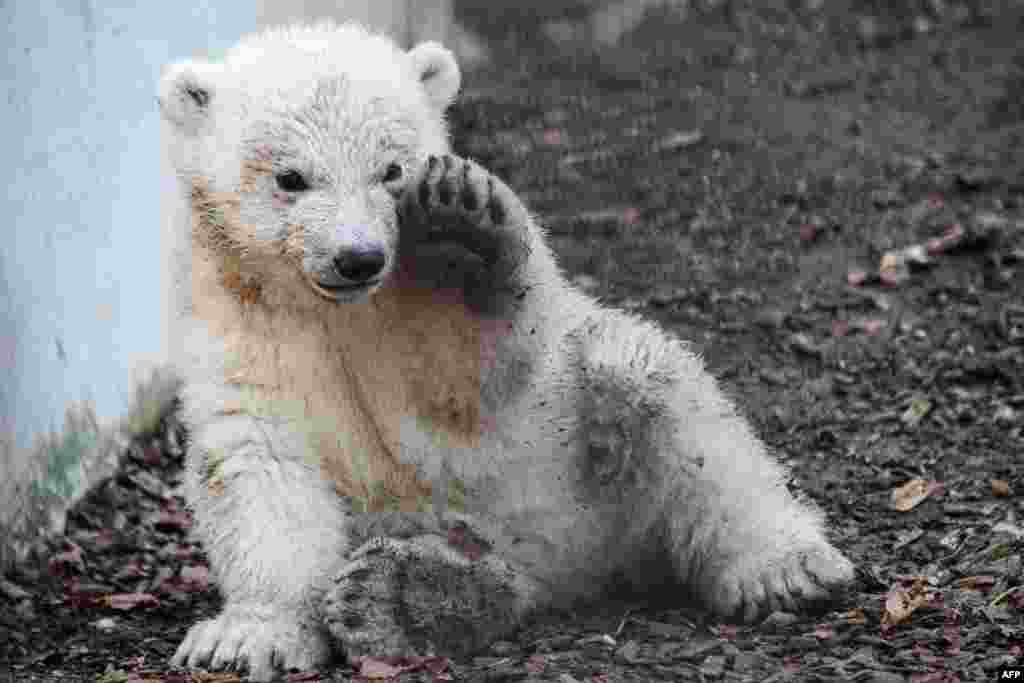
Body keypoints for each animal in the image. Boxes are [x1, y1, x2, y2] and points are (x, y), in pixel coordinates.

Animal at [158, 21, 855, 682]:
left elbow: (466, 375)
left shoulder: (424, 327)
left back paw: (782, 566)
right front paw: (249, 637)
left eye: (392, 169)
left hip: (570, 447)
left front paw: (461, 227)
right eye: (291, 178)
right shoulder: (244, 331)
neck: (342, 313)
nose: (359, 257)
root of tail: (566, 559)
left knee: (665, 403)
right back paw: (405, 595)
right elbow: (259, 465)